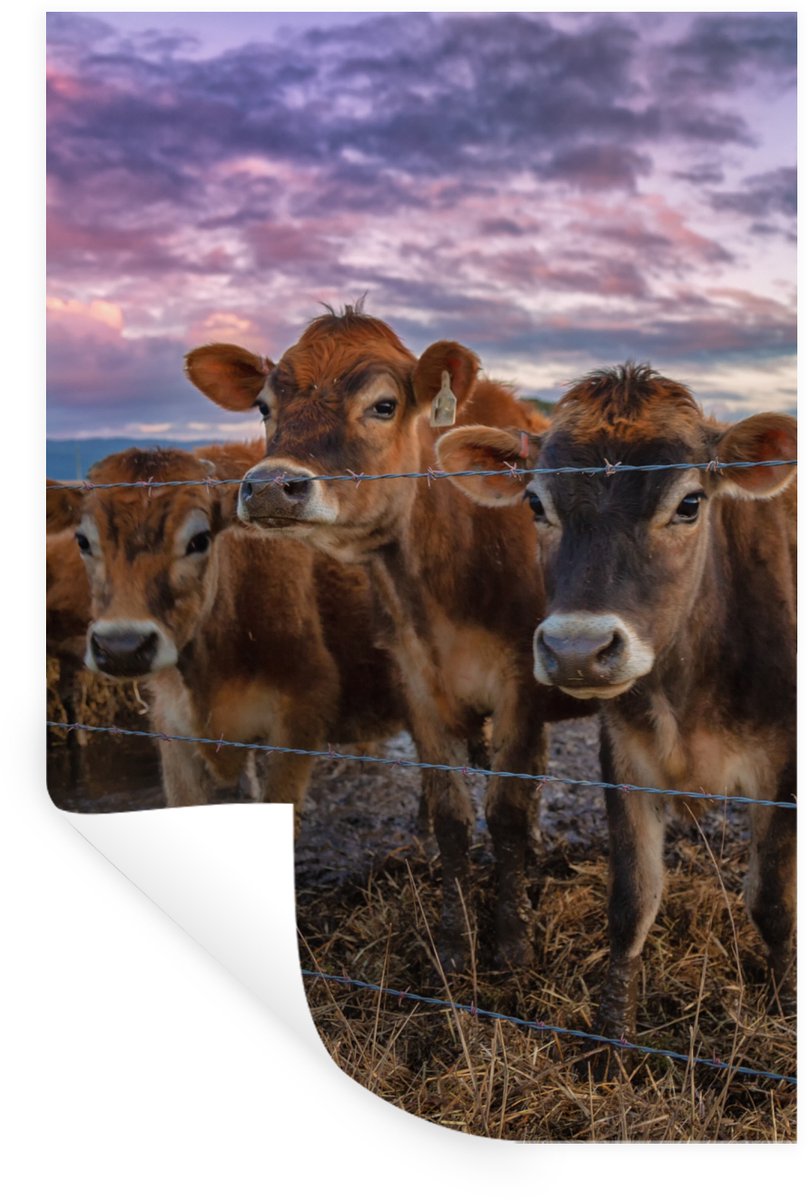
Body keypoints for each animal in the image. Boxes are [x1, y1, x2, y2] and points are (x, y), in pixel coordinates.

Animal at [185, 307, 593, 970]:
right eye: (264, 406)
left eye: (382, 405)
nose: (270, 486)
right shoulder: (415, 683)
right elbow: (453, 817)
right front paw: (454, 943)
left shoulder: (521, 685)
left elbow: (504, 813)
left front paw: (511, 940)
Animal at [435, 362, 796, 1039]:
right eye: (535, 503)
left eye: (689, 503)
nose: (577, 649)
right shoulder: (625, 755)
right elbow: (633, 900)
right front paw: (611, 1039)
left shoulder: (783, 768)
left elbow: (773, 902)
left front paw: (788, 1007)